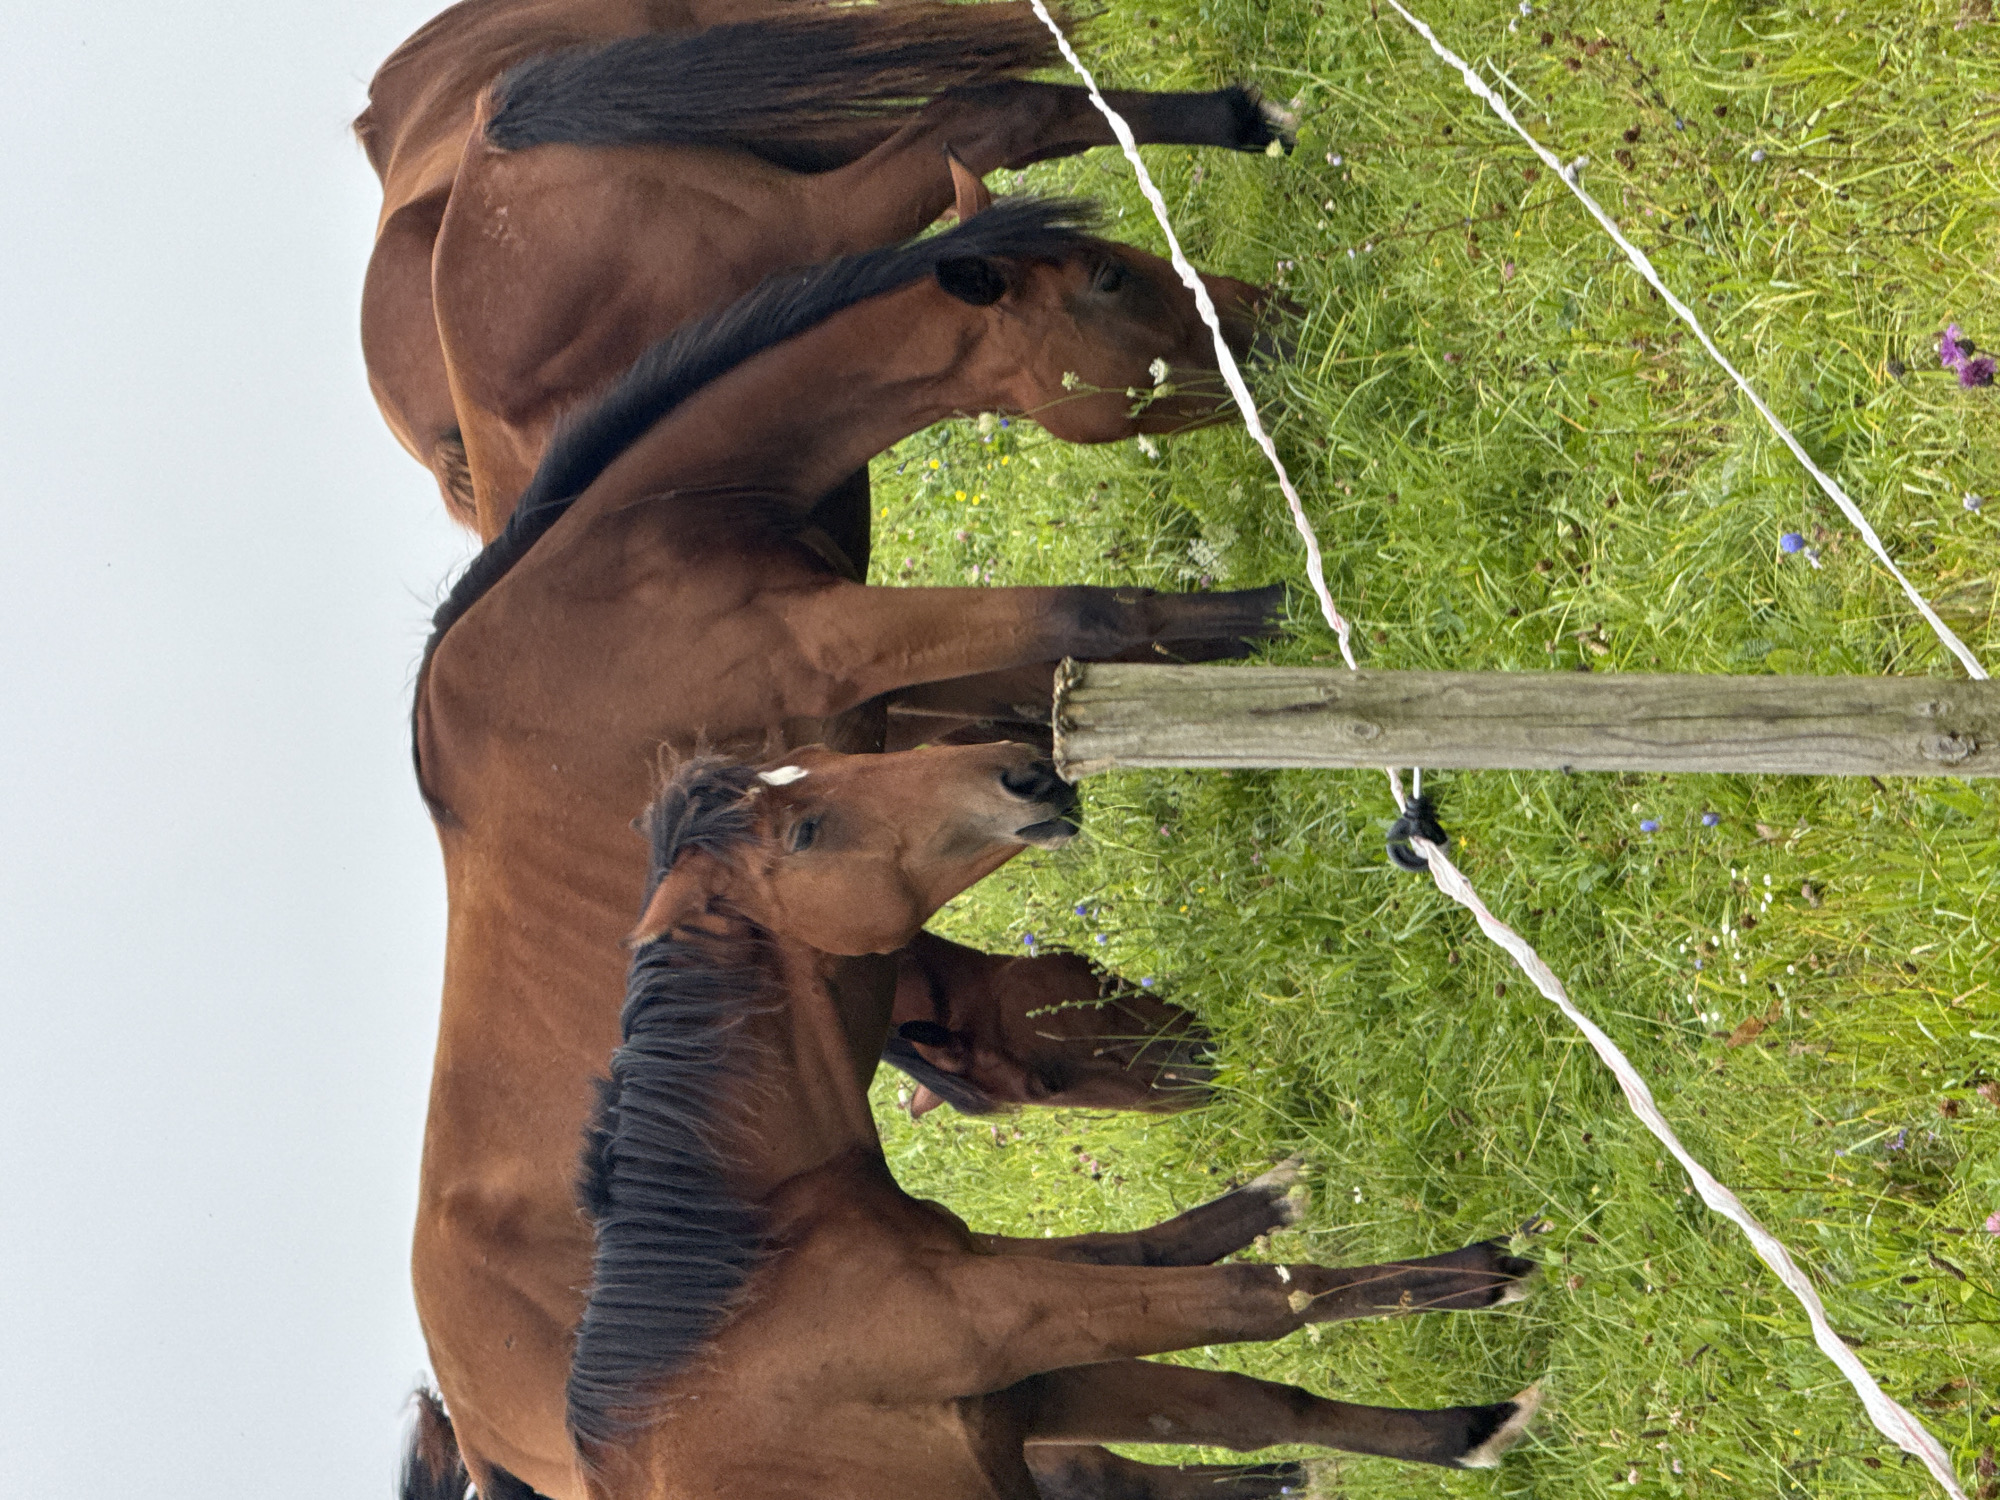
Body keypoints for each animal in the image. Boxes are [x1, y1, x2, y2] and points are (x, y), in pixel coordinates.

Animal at [408, 201, 1303, 1496]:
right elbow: (1088, 613)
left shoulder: (896, 697)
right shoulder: (841, 642)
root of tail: (490, 1434)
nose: (1271, 321)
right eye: (1102, 277)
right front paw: (1276, 616)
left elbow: (1060, 685)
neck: (625, 556)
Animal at [555, 742, 1540, 1500]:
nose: (1025, 770)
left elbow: (1250, 1402)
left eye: (829, 752)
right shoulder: (1019, 1317)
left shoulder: (1036, 1376)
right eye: (805, 832)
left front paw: (1466, 1421)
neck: (762, 1270)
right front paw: (1482, 1303)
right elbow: (1264, 1300)